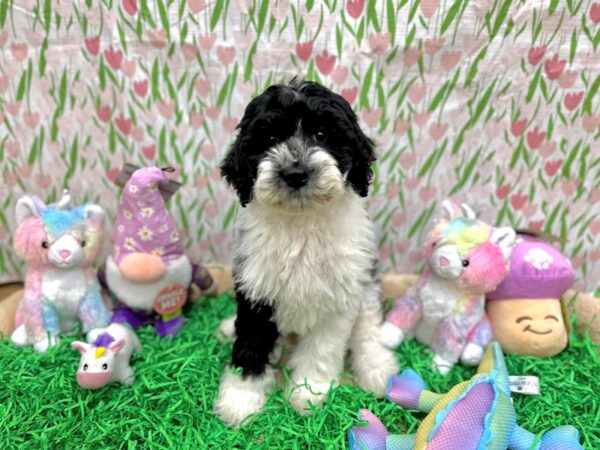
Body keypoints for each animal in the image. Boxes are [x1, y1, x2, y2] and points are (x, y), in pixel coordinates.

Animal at [214, 79, 398, 428]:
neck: (301, 223)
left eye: (322, 135)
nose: (296, 173)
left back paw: (377, 366)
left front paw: (309, 391)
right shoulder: (256, 290)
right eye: (270, 139)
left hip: (366, 290)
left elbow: (322, 349)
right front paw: (241, 398)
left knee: (367, 330)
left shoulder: (340, 297)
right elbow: (251, 343)